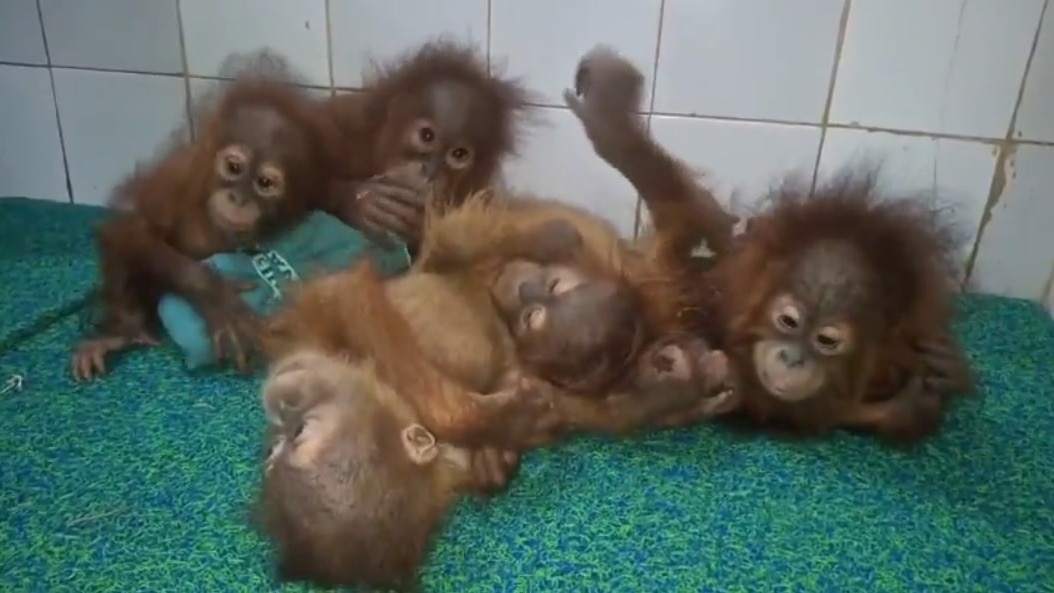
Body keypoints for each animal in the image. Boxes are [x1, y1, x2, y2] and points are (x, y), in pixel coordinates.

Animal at [69, 59, 342, 382]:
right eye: (234, 167)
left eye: (264, 183)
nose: (237, 198)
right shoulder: (177, 176)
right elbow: (136, 230)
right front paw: (218, 299)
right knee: (122, 241)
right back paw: (120, 332)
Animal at [564, 45, 975, 444]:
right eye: (788, 321)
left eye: (827, 341)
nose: (792, 359)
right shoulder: (712, 288)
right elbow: (690, 220)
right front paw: (609, 114)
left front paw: (931, 388)